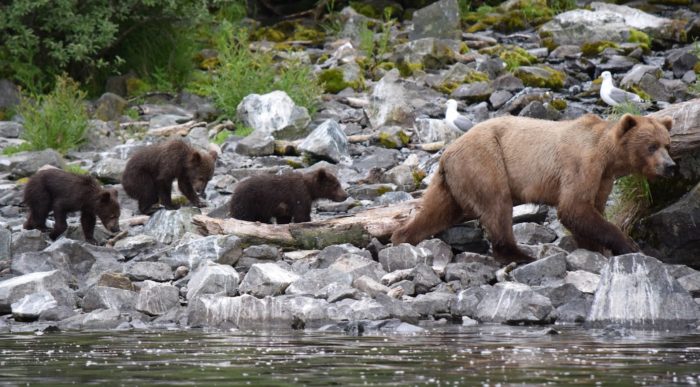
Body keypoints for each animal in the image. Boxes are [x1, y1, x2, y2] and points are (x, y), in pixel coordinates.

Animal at [392, 113, 676, 266]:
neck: (610, 157)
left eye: (667, 144)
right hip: (485, 160)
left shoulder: (603, 179)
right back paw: (521, 254)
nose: (670, 166)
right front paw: (629, 245)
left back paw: (402, 237)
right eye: (651, 146)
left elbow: (590, 210)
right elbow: (574, 208)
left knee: (435, 212)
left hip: (452, 181)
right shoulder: (581, 164)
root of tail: (446, 152)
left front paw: (594, 248)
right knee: (497, 206)